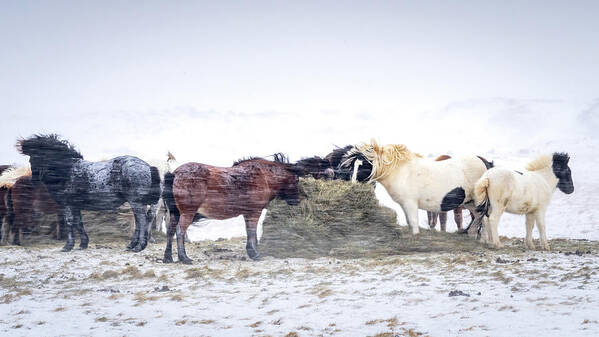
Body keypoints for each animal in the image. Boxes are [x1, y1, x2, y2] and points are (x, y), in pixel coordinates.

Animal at [16, 133, 162, 251]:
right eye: (31, 158)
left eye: (39, 155)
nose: (34, 180)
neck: (67, 171)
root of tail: (147, 166)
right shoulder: (76, 205)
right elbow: (78, 223)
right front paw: (82, 244)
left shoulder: (68, 204)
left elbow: (69, 222)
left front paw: (68, 246)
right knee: (139, 221)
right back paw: (132, 245)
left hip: (136, 202)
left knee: (142, 220)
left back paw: (139, 246)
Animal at [162, 155, 302, 262]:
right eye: (296, 180)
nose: (297, 200)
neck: (263, 176)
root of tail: (175, 173)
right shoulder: (254, 212)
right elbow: (252, 233)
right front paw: (255, 254)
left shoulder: (247, 213)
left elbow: (250, 233)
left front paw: (252, 252)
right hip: (187, 213)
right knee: (180, 231)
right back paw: (184, 258)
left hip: (175, 213)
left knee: (170, 231)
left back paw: (168, 258)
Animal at [342, 139, 492, 234]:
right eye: (352, 166)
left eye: (363, 166)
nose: (353, 185)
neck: (401, 172)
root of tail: (484, 163)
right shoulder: (404, 205)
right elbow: (410, 222)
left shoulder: (411, 204)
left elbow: (414, 224)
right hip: (469, 203)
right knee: (480, 218)